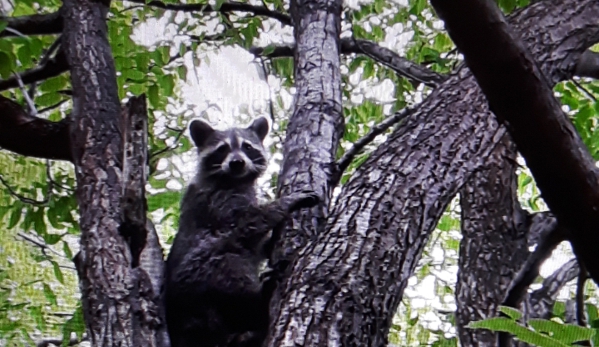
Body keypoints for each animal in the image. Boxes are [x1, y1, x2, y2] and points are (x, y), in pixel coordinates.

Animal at [164, 117, 318, 347]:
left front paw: (268, 244)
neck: (233, 179)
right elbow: (249, 222)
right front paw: (285, 203)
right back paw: (257, 303)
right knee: (228, 263)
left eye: (247, 147)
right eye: (222, 149)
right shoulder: (218, 200)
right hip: (196, 272)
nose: (237, 162)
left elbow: (255, 242)